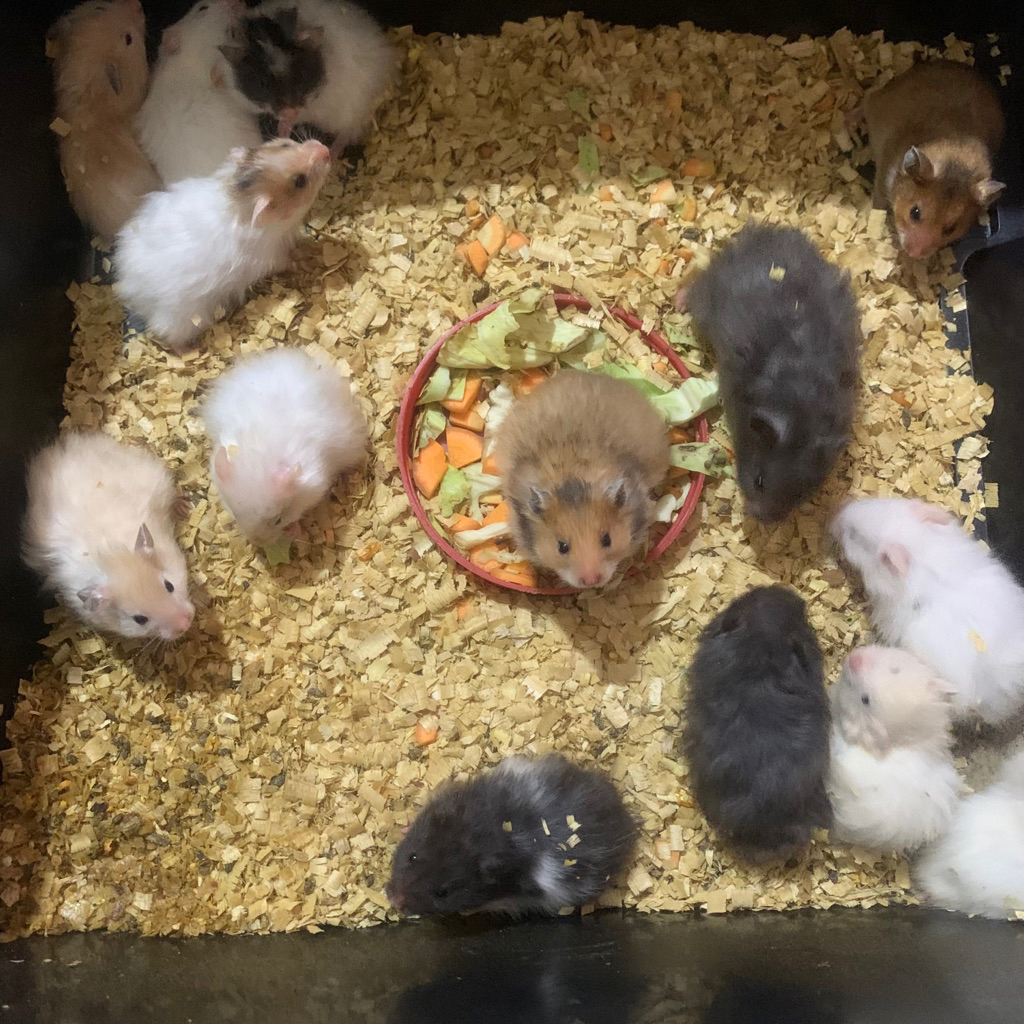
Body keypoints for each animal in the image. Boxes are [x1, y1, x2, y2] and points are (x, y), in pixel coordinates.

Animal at [114, 137, 330, 352]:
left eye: (285, 144)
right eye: (300, 181)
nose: (326, 149)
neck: (239, 202)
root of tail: (132, 288)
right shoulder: (271, 258)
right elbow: (287, 261)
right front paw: (301, 259)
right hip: (184, 319)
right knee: (170, 337)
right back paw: (191, 350)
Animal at [681, 224, 859, 523]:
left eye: (803, 492)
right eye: (759, 482)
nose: (762, 520)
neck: (800, 406)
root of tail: (762, 232)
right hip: (706, 300)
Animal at [856, 60, 1005, 259]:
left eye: (950, 229)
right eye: (915, 213)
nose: (914, 254)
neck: (956, 156)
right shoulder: (882, 176)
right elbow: (878, 204)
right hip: (877, 104)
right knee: (868, 95)